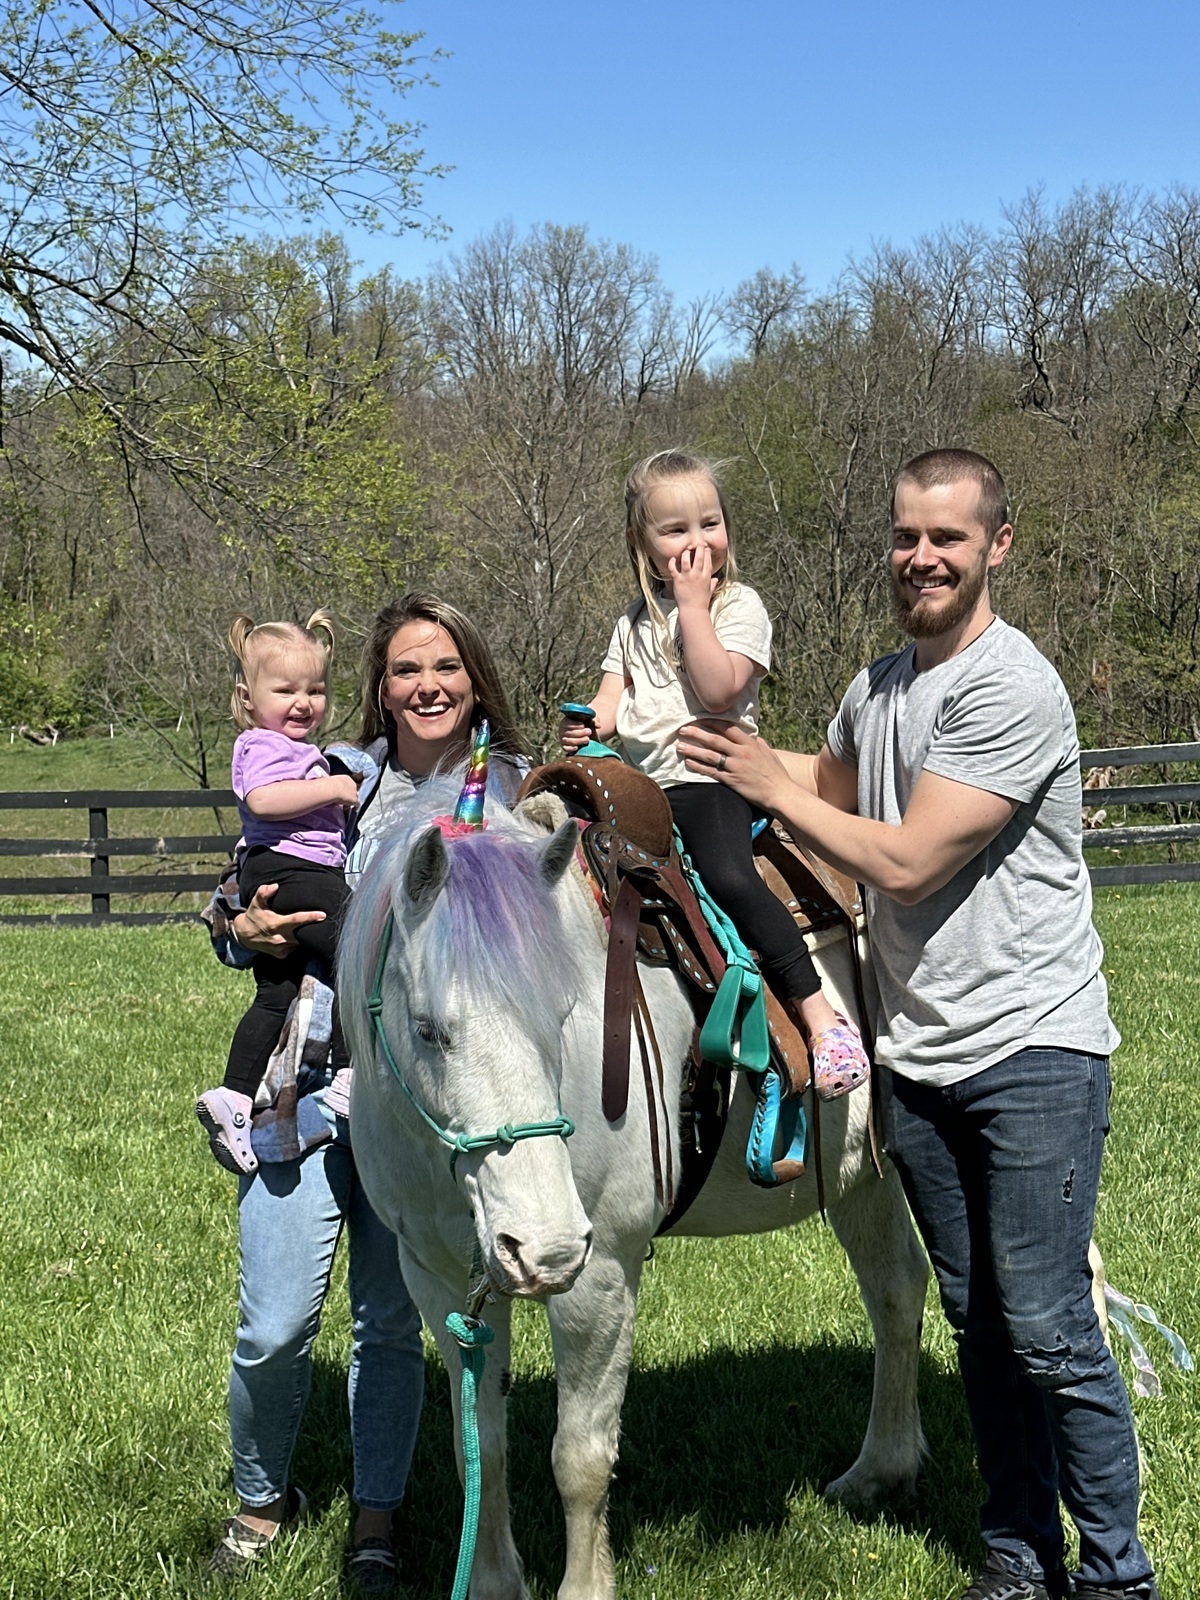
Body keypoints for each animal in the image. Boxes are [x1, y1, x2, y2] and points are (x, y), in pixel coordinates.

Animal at [339, 784, 928, 1600]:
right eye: (429, 1030)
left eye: (562, 1014)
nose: (546, 1247)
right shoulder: (440, 1280)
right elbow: (479, 1445)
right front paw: (493, 1582)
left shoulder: (602, 1278)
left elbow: (580, 1459)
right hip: (864, 1177)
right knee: (896, 1291)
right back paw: (881, 1470)